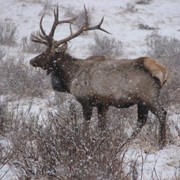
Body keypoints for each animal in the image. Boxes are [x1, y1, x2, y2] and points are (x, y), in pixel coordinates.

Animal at [30, 6, 168, 148]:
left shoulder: (85, 100)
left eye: (47, 52)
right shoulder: (103, 103)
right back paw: (126, 142)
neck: (70, 76)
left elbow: (86, 125)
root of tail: (162, 71)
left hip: (148, 97)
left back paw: (162, 143)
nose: (32, 60)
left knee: (161, 114)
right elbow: (102, 126)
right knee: (142, 120)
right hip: (141, 101)